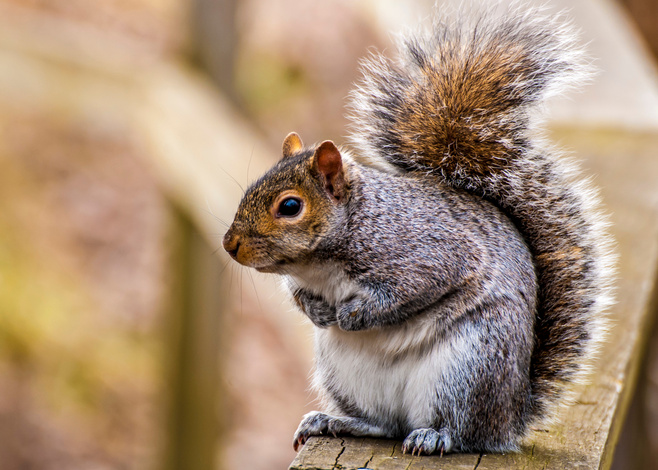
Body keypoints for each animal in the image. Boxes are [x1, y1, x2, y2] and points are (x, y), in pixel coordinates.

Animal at [222, 4, 615, 455]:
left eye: (290, 206)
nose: (230, 244)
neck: (323, 261)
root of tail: (511, 416)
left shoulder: (425, 254)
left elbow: (409, 292)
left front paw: (354, 314)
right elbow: (300, 296)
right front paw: (317, 311)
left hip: (470, 365)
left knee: (463, 431)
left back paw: (434, 435)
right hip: (346, 375)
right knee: (383, 424)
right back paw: (334, 421)